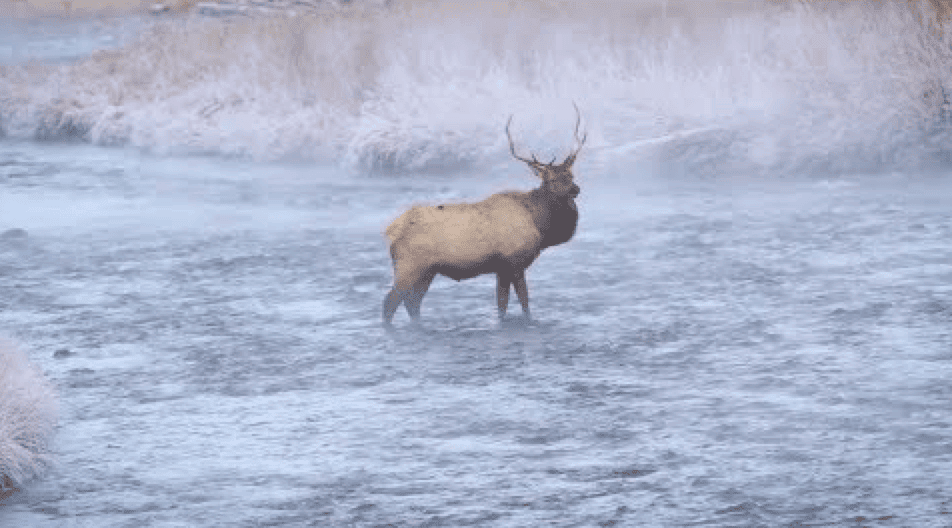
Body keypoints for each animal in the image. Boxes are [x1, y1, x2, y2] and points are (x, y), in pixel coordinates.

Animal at [382, 104, 586, 325]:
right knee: (390, 302)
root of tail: (391, 230)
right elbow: (524, 304)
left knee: (412, 303)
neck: (540, 225)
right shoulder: (514, 262)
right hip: (409, 266)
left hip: (427, 271)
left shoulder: (502, 269)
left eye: (570, 175)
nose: (575, 189)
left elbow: (502, 306)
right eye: (550, 180)